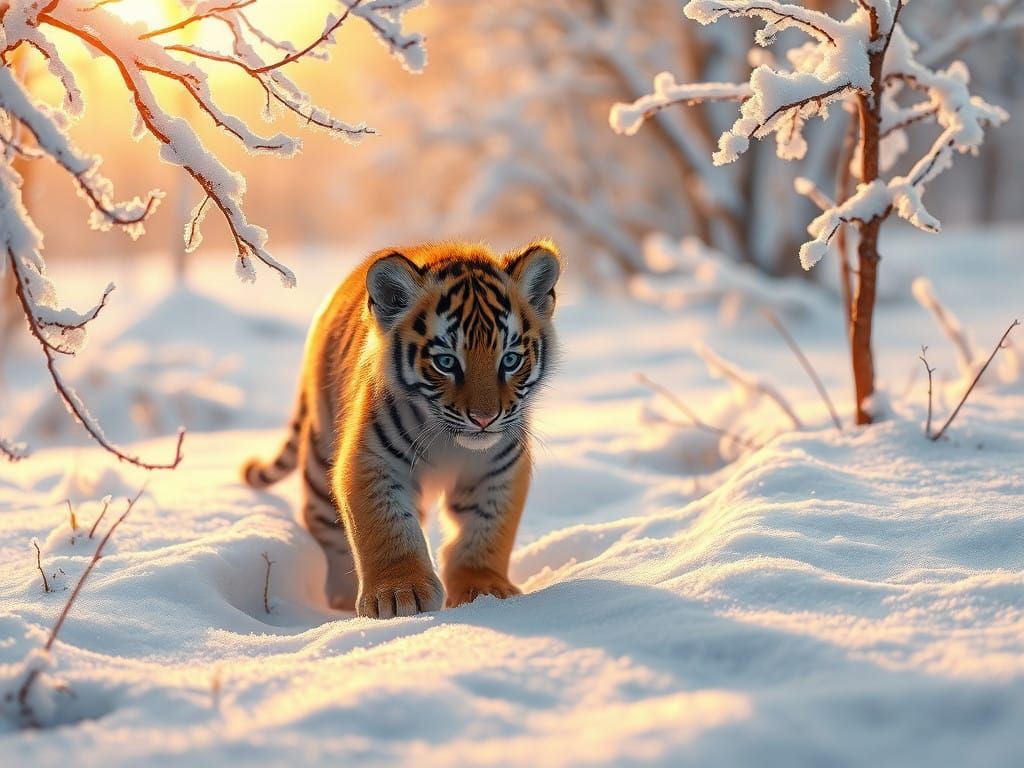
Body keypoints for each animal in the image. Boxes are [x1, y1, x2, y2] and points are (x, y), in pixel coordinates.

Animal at [242, 240, 561, 618]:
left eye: (510, 360)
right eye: (446, 362)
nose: (484, 419)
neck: (451, 444)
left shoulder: (500, 470)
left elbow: (486, 532)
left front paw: (485, 590)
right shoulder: (372, 460)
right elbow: (387, 527)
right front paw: (398, 595)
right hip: (320, 455)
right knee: (321, 520)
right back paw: (341, 597)